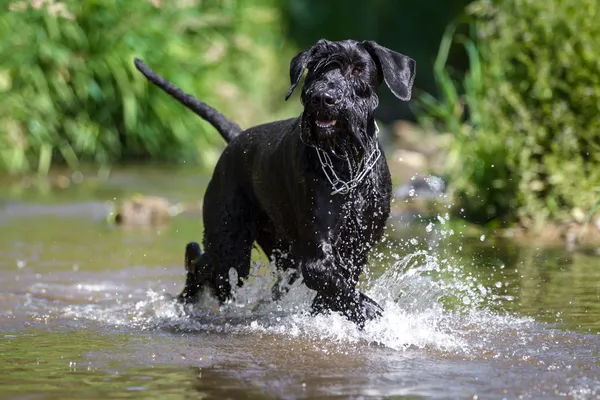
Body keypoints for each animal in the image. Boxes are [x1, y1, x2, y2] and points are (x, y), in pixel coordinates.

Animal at [134, 39, 414, 326]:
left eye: (357, 69)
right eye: (316, 69)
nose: (322, 97)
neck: (347, 165)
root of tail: (236, 138)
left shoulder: (358, 246)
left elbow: (338, 287)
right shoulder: (316, 256)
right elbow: (339, 287)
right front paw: (373, 313)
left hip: (280, 254)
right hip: (231, 249)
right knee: (200, 263)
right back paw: (185, 298)